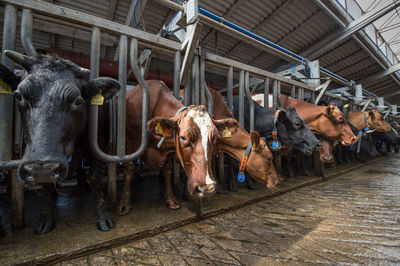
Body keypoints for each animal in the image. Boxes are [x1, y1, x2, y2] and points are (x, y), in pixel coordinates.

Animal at [1, 51, 120, 234]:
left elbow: (95, 177)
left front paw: (103, 217)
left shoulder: (97, 144)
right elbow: (46, 185)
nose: (42, 167)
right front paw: (45, 218)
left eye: (78, 100)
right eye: (19, 96)